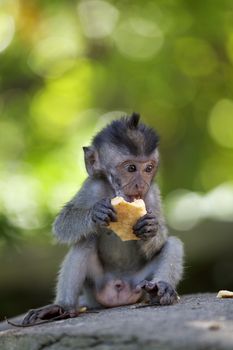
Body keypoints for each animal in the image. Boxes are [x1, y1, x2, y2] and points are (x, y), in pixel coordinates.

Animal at [23, 113, 184, 324]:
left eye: (149, 168)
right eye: (131, 168)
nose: (141, 184)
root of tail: (118, 290)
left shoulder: (152, 193)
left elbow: (161, 238)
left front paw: (150, 228)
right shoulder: (92, 186)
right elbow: (62, 224)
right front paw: (95, 214)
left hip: (138, 283)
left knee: (173, 244)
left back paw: (160, 290)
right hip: (95, 288)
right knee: (84, 242)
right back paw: (61, 306)